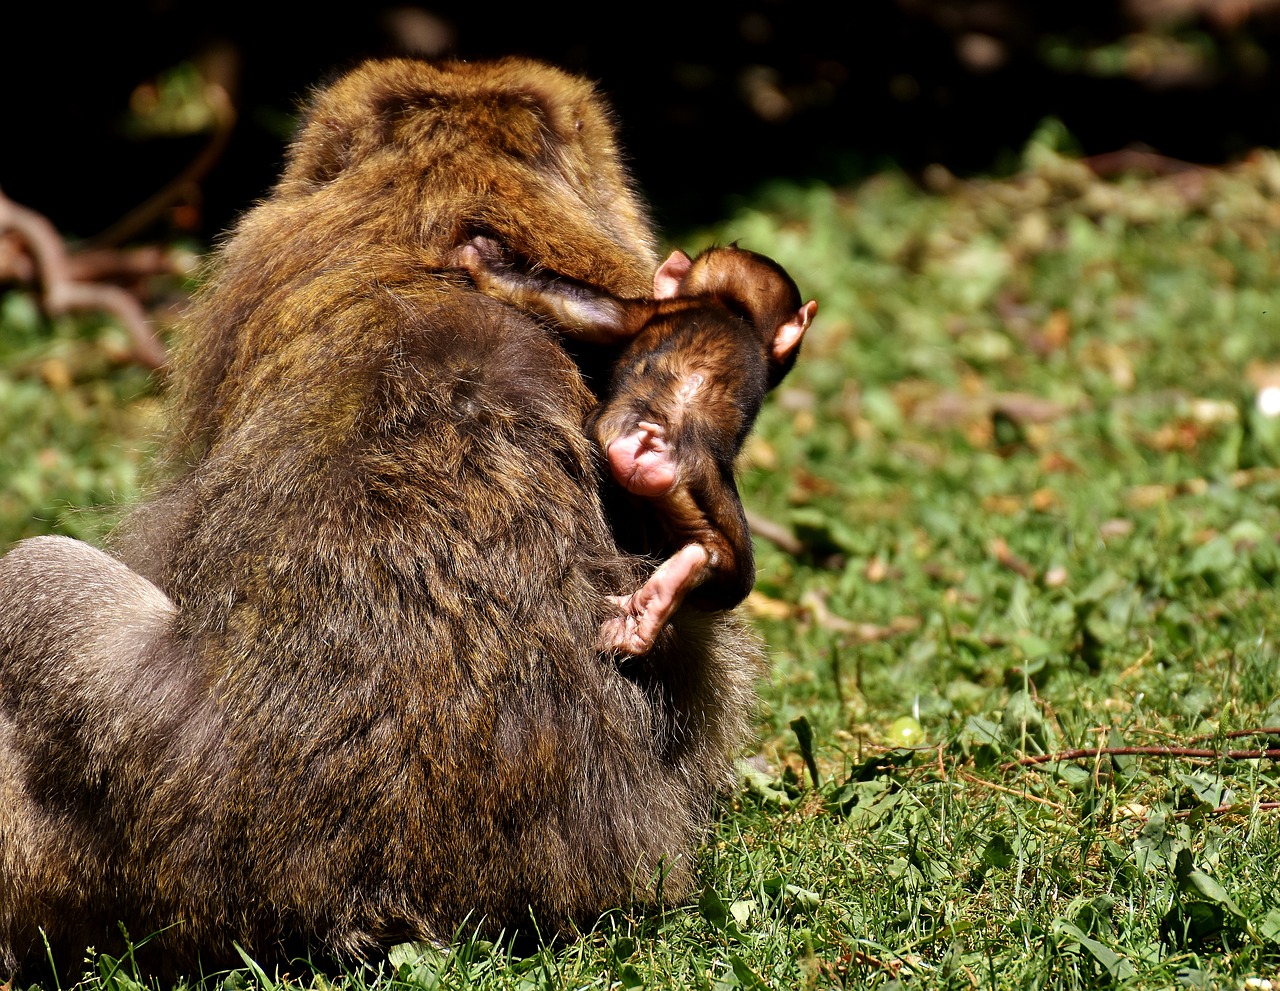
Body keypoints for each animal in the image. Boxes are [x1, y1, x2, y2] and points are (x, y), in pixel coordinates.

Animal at [455, 239, 814, 655]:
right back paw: (660, 599)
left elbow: (588, 310)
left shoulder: (647, 312)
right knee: (724, 567)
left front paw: (481, 259)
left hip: (623, 441)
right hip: (708, 499)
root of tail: (668, 441)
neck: (732, 308)